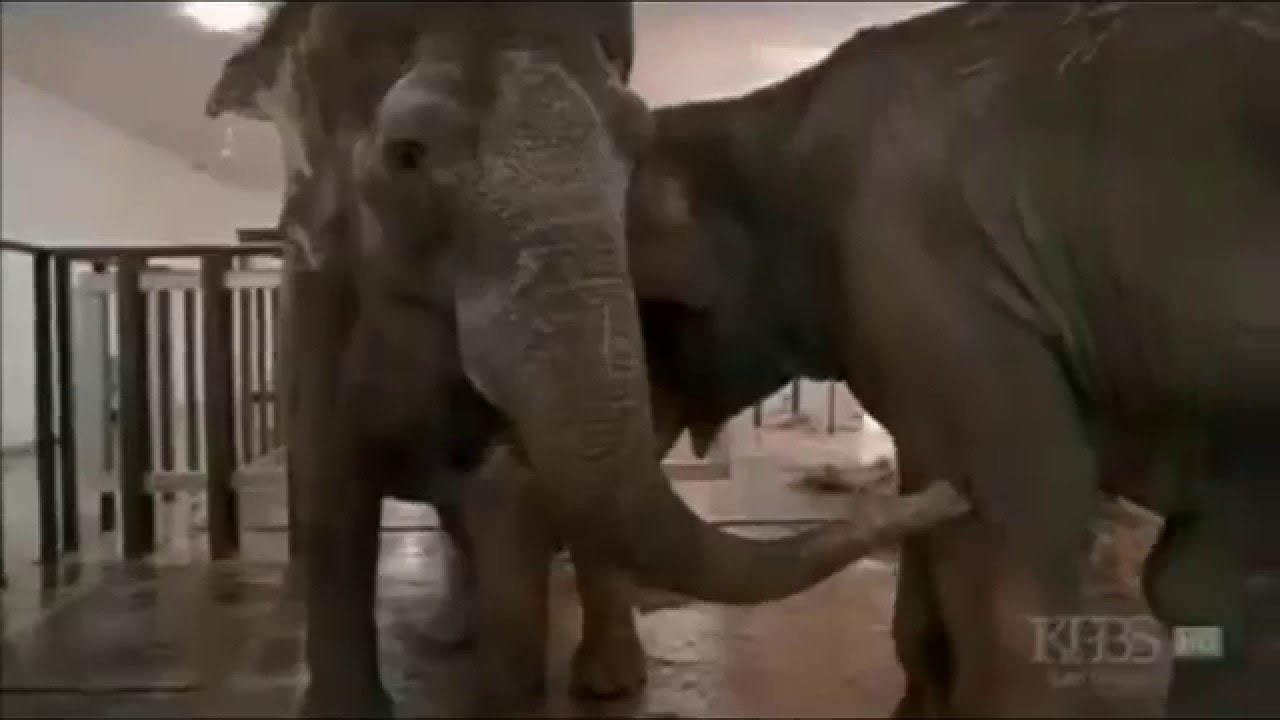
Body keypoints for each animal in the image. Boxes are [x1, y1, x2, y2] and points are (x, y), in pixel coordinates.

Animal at [203, 2, 969, 715]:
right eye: (408, 153)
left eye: (637, 146)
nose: (950, 494)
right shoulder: (314, 303)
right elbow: (332, 490)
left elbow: (522, 497)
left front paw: (514, 691)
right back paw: (454, 635)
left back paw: (605, 678)